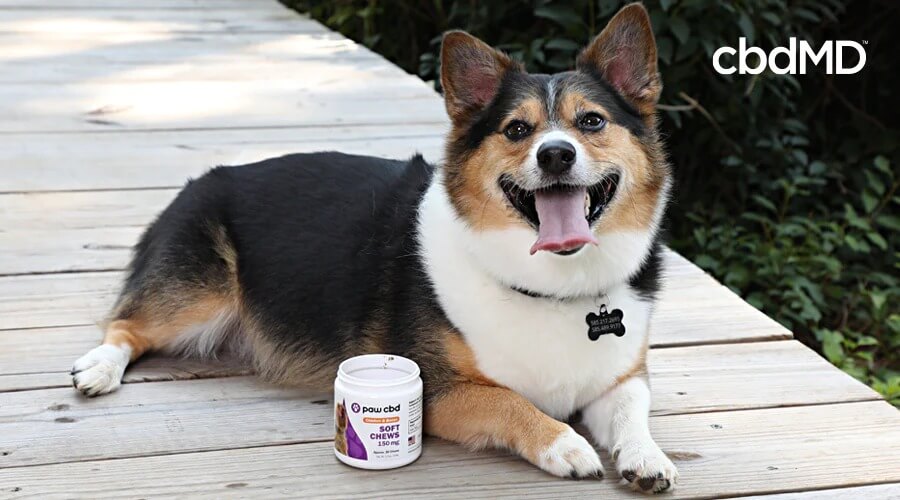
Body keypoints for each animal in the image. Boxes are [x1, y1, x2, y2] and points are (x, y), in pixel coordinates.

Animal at [72, 4, 676, 492]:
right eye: (516, 130)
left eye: (592, 121)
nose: (555, 155)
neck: (554, 283)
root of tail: (195, 183)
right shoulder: (438, 389)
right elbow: (508, 400)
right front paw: (566, 443)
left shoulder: (620, 379)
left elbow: (633, 410)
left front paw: (647, 458)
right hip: (199, 291)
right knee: (127, 325)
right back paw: (98, 369)